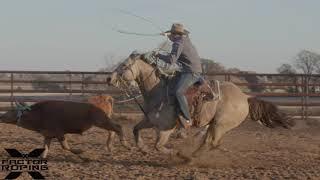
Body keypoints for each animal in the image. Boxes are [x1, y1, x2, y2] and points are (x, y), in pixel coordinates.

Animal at [107, 52, 292, 160]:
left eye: (124, 65)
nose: (109, 78)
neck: (158, 91)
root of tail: (245, 97)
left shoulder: (167, 128)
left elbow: (158, 146)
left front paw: (176, 153)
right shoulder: (150, 121)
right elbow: (135, 130)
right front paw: (143, 149)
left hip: (220, 124)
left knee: (212, 142)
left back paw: (190, 157)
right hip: (215, 124)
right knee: (210, 142)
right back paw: (193, 155)